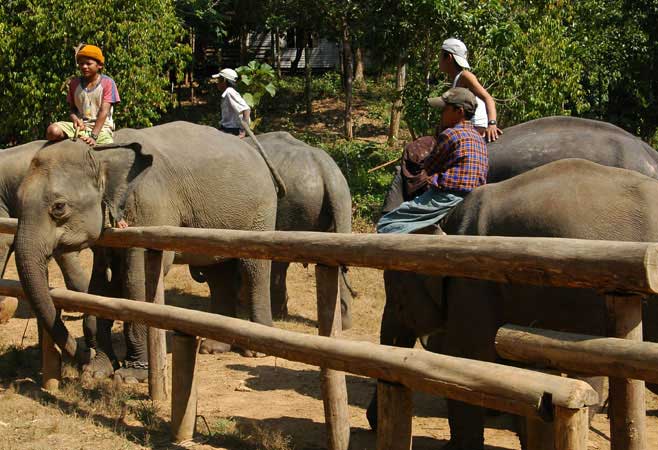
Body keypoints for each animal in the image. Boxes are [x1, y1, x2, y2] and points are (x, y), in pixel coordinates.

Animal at [12, 121, 280, 382]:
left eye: (59, 207)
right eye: (17, 199)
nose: (82, 358)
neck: (104, 153)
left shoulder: (149, 206)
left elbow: (135, 281)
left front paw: (131, 375)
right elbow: (99, 286)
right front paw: (97, 372)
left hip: (262, 211)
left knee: (253, 269)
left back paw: (256, 351)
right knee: (217, 272)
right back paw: (213, 347)